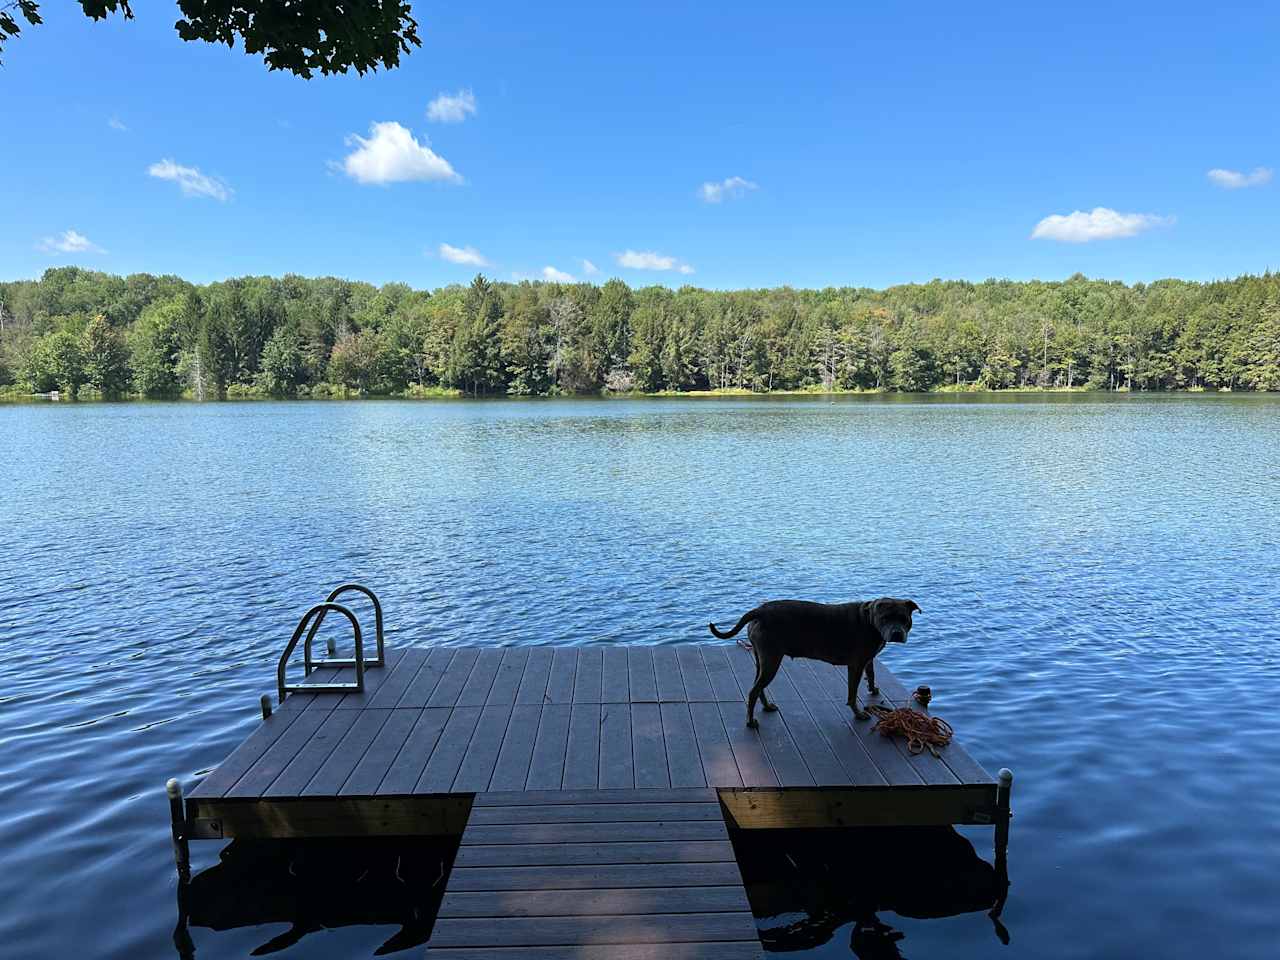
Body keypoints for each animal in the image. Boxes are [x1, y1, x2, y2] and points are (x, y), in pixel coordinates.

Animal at [711, 601, 921, 727]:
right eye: (885, 618)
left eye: (904, 618)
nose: (897, 633)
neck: (870, 621)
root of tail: (760, 611)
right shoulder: (856, 665)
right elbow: (852, 693)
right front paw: (858, 713)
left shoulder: (867, 660)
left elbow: (871, 674)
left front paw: (873, 689)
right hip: (771, 660)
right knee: (753, 690)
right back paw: (750, 721)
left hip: (762, 660)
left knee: (757, 687)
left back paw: (767, 706)